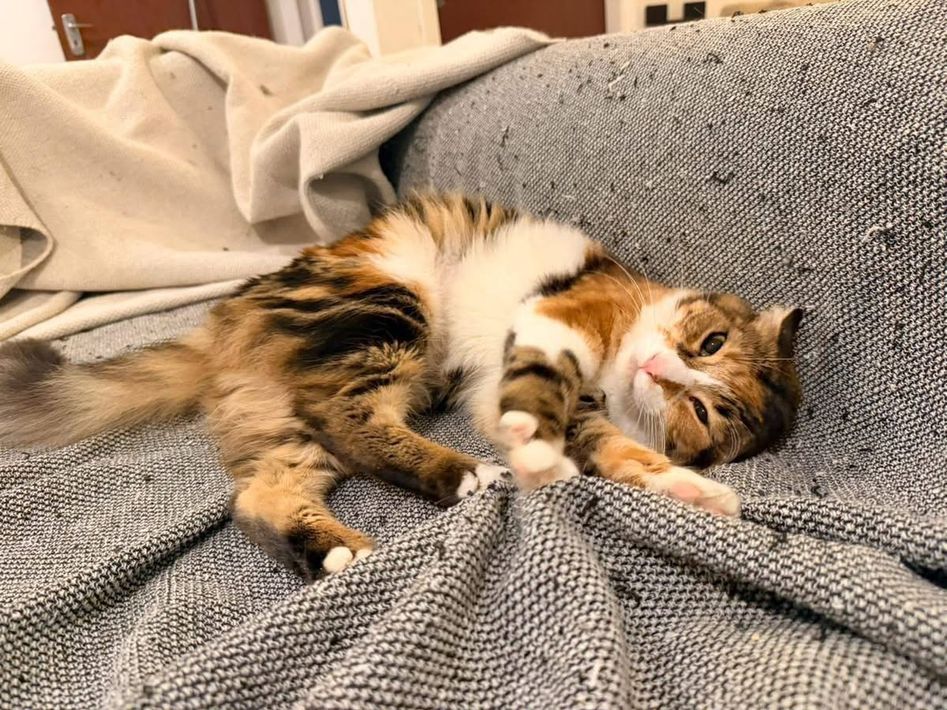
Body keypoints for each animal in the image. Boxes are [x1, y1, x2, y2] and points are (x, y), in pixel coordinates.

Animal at [0, 193, 802, 580]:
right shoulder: (568, 315)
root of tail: (226, 323)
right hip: (391, 303)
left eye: (704, 409)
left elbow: (621, 453)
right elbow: (545, 382)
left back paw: (336, 552)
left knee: (263, 493)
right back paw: (463, 474)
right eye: (709, 344)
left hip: (291, 419)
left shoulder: (586, 410)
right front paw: (534, 452)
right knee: (346, 416)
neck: (611, 379)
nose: (659, 369)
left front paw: (690, 492)